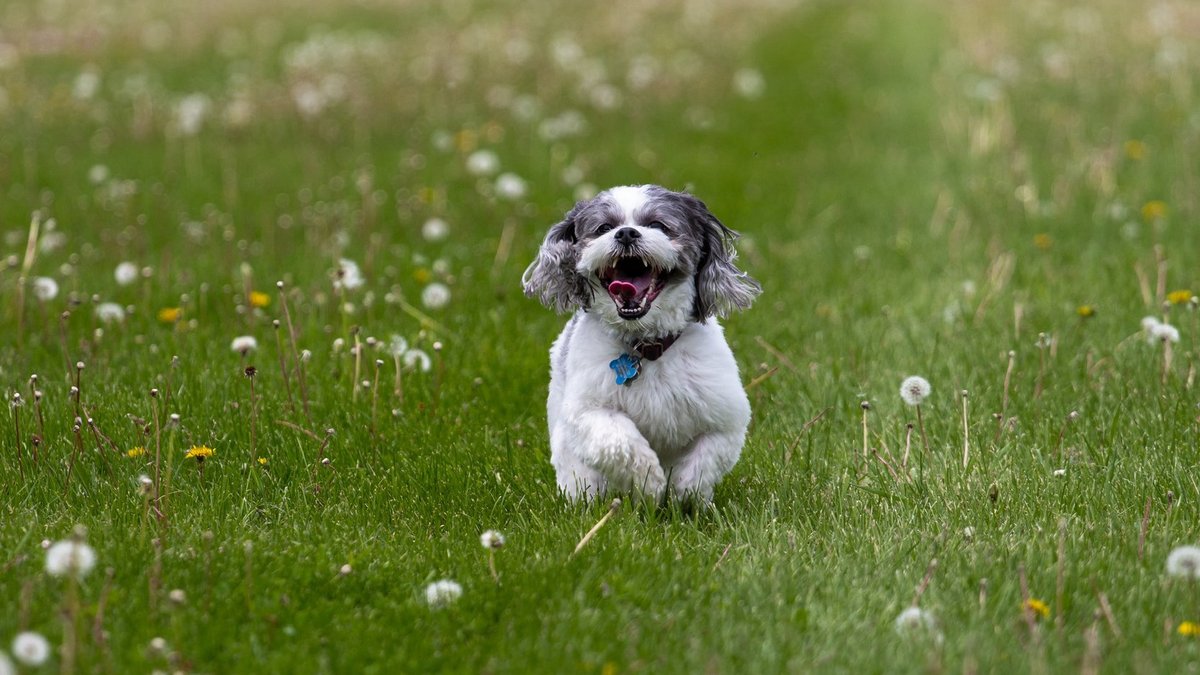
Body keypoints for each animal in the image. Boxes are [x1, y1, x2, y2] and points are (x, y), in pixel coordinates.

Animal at [523, 183, 758, 499]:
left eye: (658, 225)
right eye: (604, 228)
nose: (625, 233)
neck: (646, 345)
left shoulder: (723, 417)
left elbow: (705, 460)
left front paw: (684, 493)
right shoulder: (588, 411)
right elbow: (620, 441)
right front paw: (651, 484)